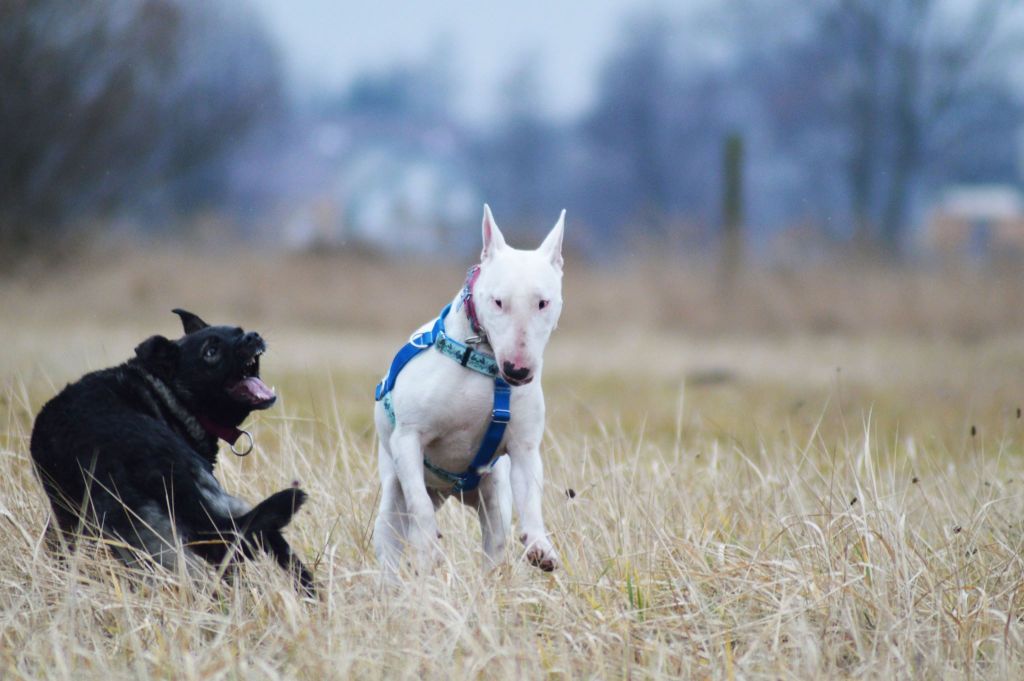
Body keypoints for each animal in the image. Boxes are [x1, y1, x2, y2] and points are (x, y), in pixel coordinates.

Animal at [372, 202, 565, 573]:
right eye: (498, 302)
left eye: (543, 303)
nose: (518, 370)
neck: (485, 366)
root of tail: (449, 491)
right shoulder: (408, 438)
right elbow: (418, 503)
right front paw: (427, 544)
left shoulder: (524, 448)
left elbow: (531, 497)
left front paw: (540, 546)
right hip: (391, 496)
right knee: (394, 531)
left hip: (494, 497)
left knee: (495, 538)